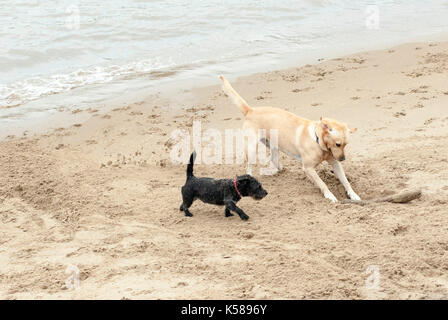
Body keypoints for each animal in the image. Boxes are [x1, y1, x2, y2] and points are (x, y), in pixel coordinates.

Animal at [220, 75, 360, 202]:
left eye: (346, 144)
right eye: (338, 144)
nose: (343, 159)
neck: (317, 141)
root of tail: (250, 110)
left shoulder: (335, 163)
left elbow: (345, 181)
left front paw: (353, 195)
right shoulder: (308, 168)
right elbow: (322, 184)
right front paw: (330, 196)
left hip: (272, 145)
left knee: (274, 159)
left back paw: (282, 170)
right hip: (251, 148)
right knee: (249, 167)